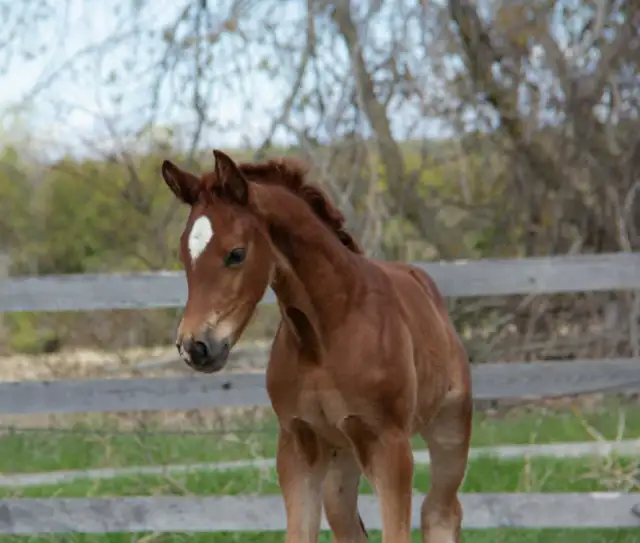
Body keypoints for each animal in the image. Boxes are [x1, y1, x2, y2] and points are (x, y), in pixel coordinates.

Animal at [161, 149, 472, 542]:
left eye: (236, 253)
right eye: (184, 256)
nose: (195, 346)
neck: (325, 336)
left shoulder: (391, 446)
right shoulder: (298, 443)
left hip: (449, 428)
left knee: (441, 511)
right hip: (342, 457)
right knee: (348, 524)